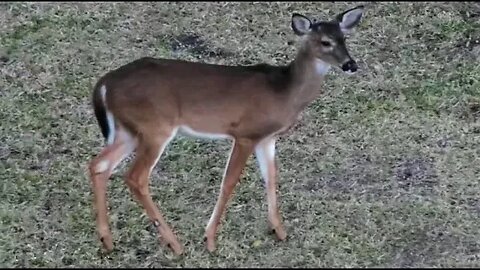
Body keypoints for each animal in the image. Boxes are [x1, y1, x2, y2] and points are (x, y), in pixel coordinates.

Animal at [87, 5, 364, 256]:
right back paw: (175, 244)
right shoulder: (245, 134)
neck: (285, 92)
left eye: (344, 38)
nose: (351, 64)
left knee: (99, 165)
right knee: (135, 177)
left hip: (128, 131)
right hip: (155, 127)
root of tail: (104, 84)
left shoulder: (267, 138)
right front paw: (210, 240)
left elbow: (271, 177)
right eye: (325, 42)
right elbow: (229, 182)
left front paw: (280, 231)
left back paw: (107, 241)